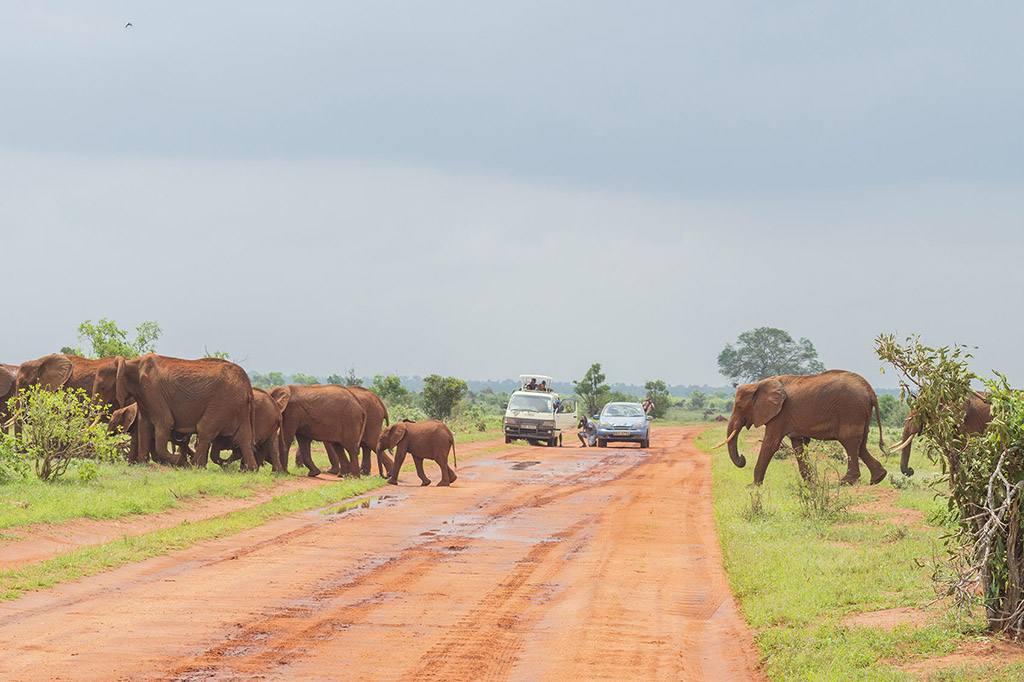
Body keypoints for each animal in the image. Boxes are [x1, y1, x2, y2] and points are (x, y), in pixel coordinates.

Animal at [115, 354, 259, 470]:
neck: (131, 362)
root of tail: (247, 385)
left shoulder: (152, 391)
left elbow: (165, 421)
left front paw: (178, 460)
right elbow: (144, 425)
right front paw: (143, 464)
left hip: (223, 403)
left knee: (205, 429)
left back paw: (192, 465)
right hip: (238, 407)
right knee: (244, 437)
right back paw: (250, 470)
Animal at [715, 369, 887, 485]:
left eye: (739, 407)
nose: (742, 458)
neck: (758, 384)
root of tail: (870, 391)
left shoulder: (780, 413)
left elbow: (771, 443)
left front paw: (753, 486)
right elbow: (798, 445)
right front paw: (811, 484)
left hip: (851, 410)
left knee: (850, 441)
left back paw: (845, 482)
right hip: (860, 412)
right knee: (861, 444)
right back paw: (878, 478)